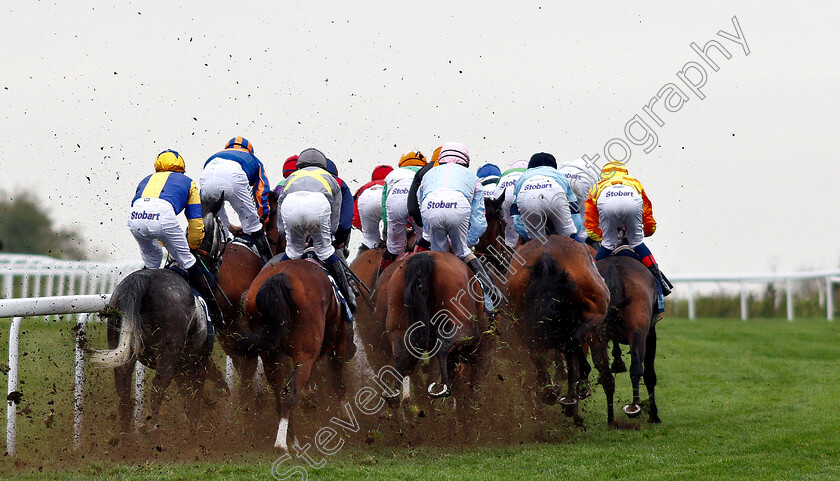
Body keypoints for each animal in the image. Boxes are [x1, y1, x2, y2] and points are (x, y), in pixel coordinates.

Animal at [90, 270, 225, 432]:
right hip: (168, 353)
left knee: (123, 391)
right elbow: (193, 400)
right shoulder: (196, 364)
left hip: (120, 346)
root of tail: (143, 277)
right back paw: (154, 430)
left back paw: (125, 435)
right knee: (157, 390)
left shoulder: (183, 368)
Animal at [243, 258, 352, 450]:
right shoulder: (339, 336)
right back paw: (281, 444)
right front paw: (346, 419)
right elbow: (338, 380)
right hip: (306, 352)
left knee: (280, 396)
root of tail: (278, 279)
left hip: (270, 354)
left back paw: (292, 441)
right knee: (290, 393)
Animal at [502, 235, 612, 424]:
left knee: (538, 353)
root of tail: (546, 256)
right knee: (571, 347)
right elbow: (575, 353)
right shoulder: (593, 319)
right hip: (595, 312)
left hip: (523, 325)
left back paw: (550, 392)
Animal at [596, 253, 664, 422]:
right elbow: (649, 375)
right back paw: (634, 407)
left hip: (596, 337)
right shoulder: (650, 333)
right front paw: (654, 415)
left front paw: (617, 363)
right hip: (638, 331)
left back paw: (611, 420)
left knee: (606, 376)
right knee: (637, 369)